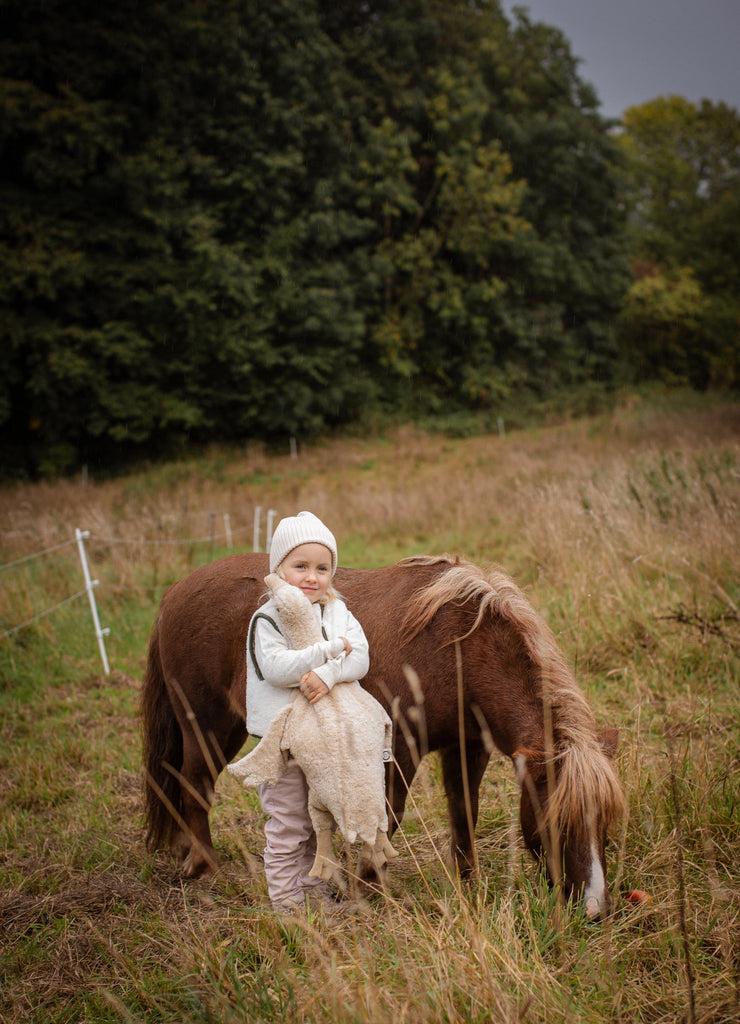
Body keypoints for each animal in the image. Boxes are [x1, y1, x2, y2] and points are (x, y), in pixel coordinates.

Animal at [141, 553, 626, 917]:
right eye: (558, 821)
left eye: (604, 822)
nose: (595, 909)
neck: (456, 646)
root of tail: (173, 594)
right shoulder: (400, 750)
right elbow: (387, 817)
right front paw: (369, 889)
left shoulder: (468, 747)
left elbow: (464, 813)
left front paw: (467, 885)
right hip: (207, 724)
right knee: (194, 785)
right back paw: (207, 868)